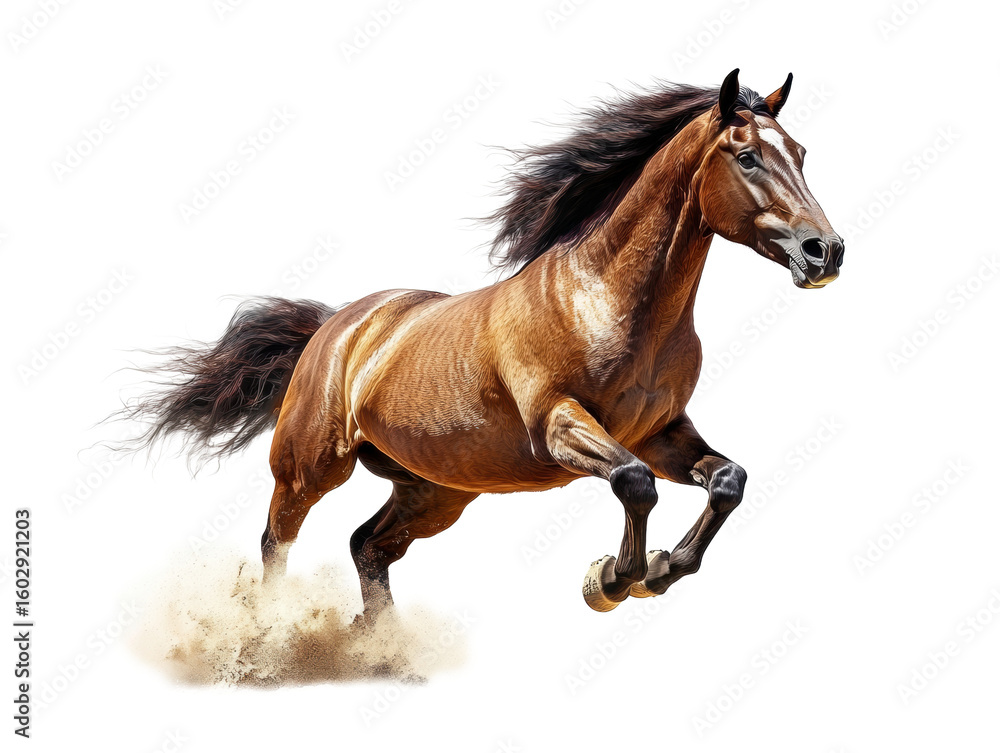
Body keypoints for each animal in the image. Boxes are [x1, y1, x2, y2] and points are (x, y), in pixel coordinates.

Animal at [124, 69, 843, 618]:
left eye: (803, 153)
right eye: (748, 157)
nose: (825, 251)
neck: (607, 300)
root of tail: (338, 326)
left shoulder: (663, 432)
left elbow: (727, 480)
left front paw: (662, 568)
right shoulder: (560, 425)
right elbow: (635, 483)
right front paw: (614, 579)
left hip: (435, 490)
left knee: (367, 546)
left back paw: (378, 644)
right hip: (310, 466)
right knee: (277, 540)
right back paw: (267, 634)